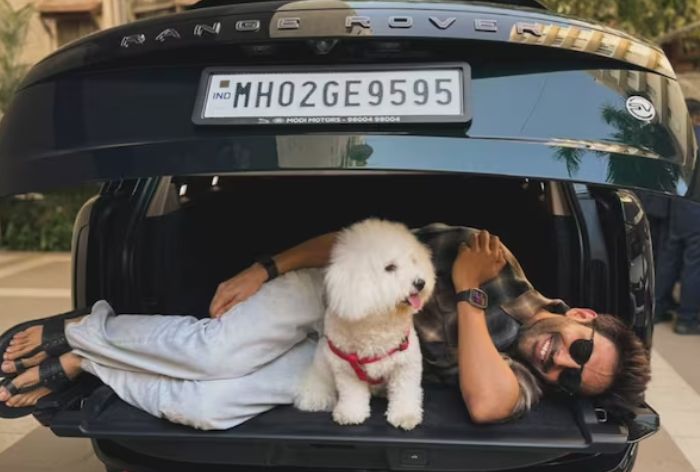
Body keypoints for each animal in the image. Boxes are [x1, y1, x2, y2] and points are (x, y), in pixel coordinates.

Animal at [292, 219, 434, 430]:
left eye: (413, 261)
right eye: (390, 267)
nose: (420, 282)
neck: (378, 321)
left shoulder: (406, 364)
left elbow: (405, 391)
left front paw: (405, 415)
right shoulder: (345, 370)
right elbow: (352, 394)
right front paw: (350, 414)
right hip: (323, 360)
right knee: (318, 380)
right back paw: (315, 398)